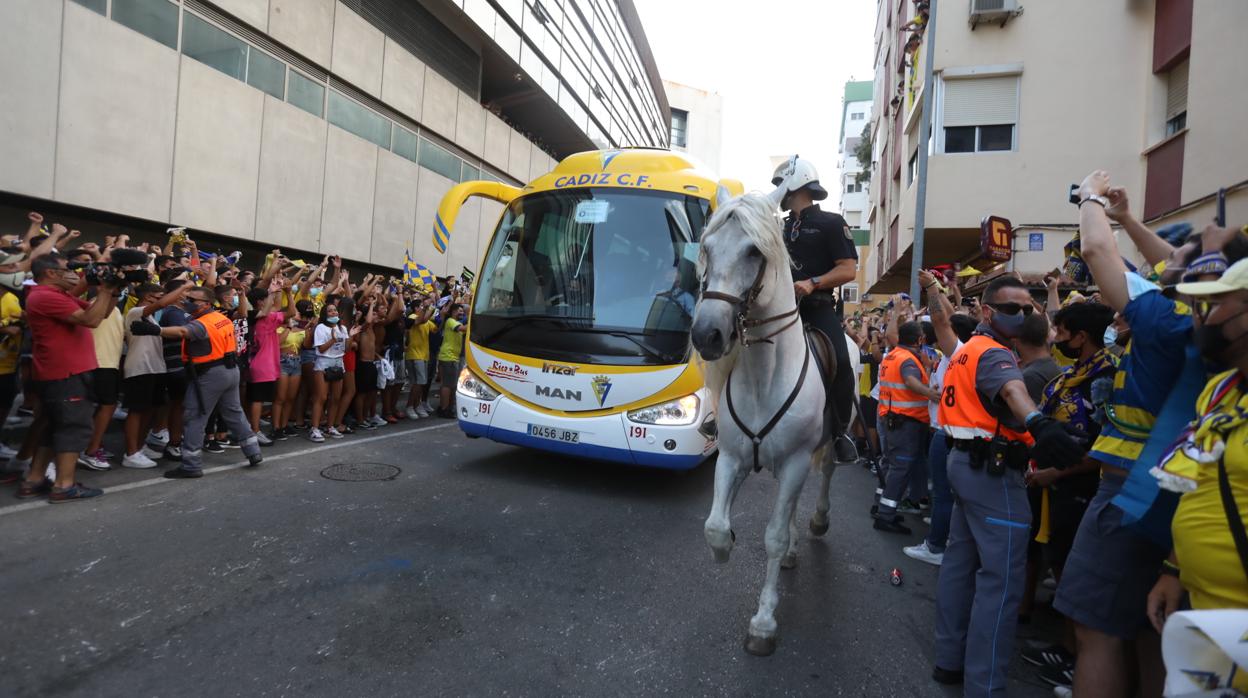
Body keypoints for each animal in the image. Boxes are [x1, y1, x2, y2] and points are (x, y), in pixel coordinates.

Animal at [688, 189, 843, 654]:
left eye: (754, 251)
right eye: (706, 247)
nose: (706, 335)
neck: (763, 376)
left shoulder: (795, 461)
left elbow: (772, 537)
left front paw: (763, 623)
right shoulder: (731, 458)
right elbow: (715, 527)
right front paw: (724, 550)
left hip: (825, 448)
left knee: (825, 475)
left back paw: (817, 521)